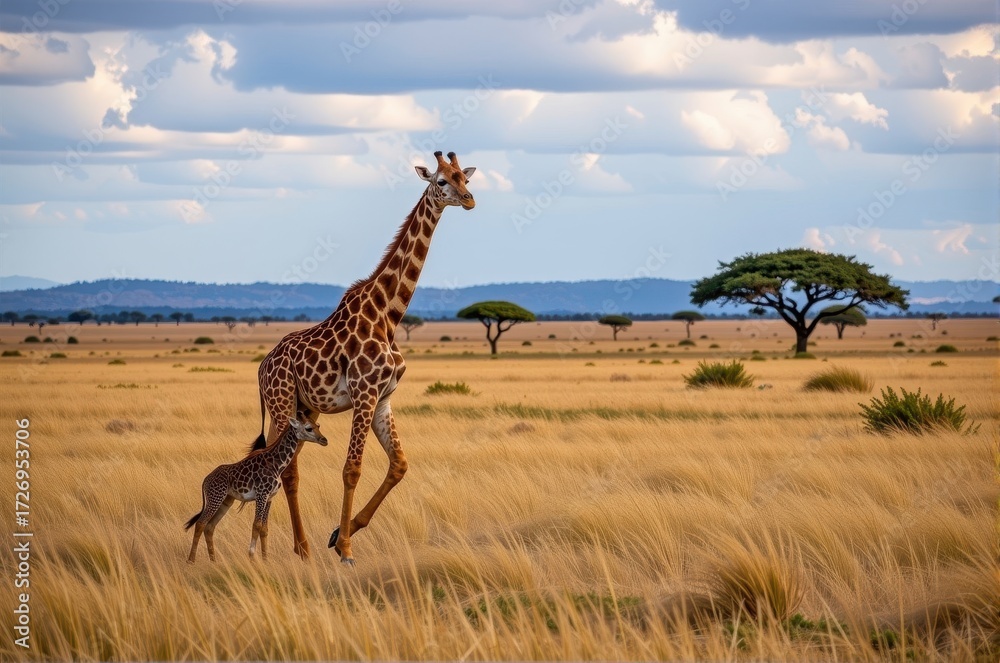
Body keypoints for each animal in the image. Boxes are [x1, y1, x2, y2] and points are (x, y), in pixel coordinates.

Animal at [185, 416, 327, 563]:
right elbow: (256, 525)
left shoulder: (270, 497)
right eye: (308, 428)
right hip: (215, 498)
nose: (324, 440)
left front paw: (265, 559)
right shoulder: (261, 494)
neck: (277, 465)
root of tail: (205, 480)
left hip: (226, 501)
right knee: (200, 523)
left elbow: (264, 528)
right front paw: (252, 556)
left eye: (318, 426)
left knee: (209, 526)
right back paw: (191, 560)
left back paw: (213, 560)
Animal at [254, 151, 476, 564]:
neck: (389, 314)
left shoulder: (383, 399)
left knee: (281, 465)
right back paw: (300, 547)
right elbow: (351, 469)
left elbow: (400, 465)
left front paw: (340, 532)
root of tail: (261, 368)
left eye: (465, 177)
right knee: (286, 469)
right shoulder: (364, 394)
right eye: (441, 181)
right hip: (282, 402)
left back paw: (294, 545)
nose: (470, 200)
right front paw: (345, 548)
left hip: (304, 410)